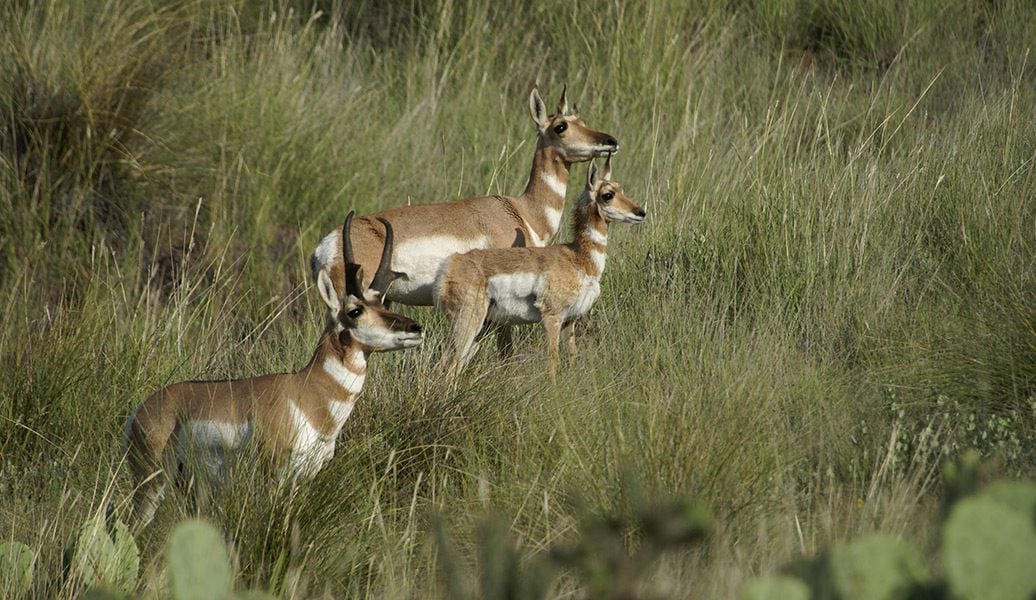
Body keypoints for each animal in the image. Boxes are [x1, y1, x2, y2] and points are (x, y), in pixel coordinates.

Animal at [122, 212, 422, 527]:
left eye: (383, 302)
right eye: (355, 310)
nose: (415, 327)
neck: (308, 393)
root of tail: (140, 411)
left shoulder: (303, 477)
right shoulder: (275, 475)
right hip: (153, 483)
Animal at [433, 155, 644, 378]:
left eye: (621, 188)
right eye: (607, 195)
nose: (641, 212)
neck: (578, 257)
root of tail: (451, 263)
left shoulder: (570, 321)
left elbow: (572, 356)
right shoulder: (552, 318)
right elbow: (553, 360)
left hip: (480, 328)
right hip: (467, 323)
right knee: (447, 366)